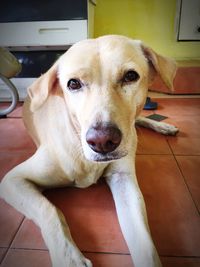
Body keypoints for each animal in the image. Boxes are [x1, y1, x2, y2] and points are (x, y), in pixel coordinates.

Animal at [0, 35, 177, 267]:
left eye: (130, 76)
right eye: (73, 83)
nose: (102, 141)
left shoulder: (124, 181)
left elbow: (145, 244)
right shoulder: (13, 180)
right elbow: (50, 210)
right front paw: (70, 259)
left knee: (139, 121)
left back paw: (163, 126)